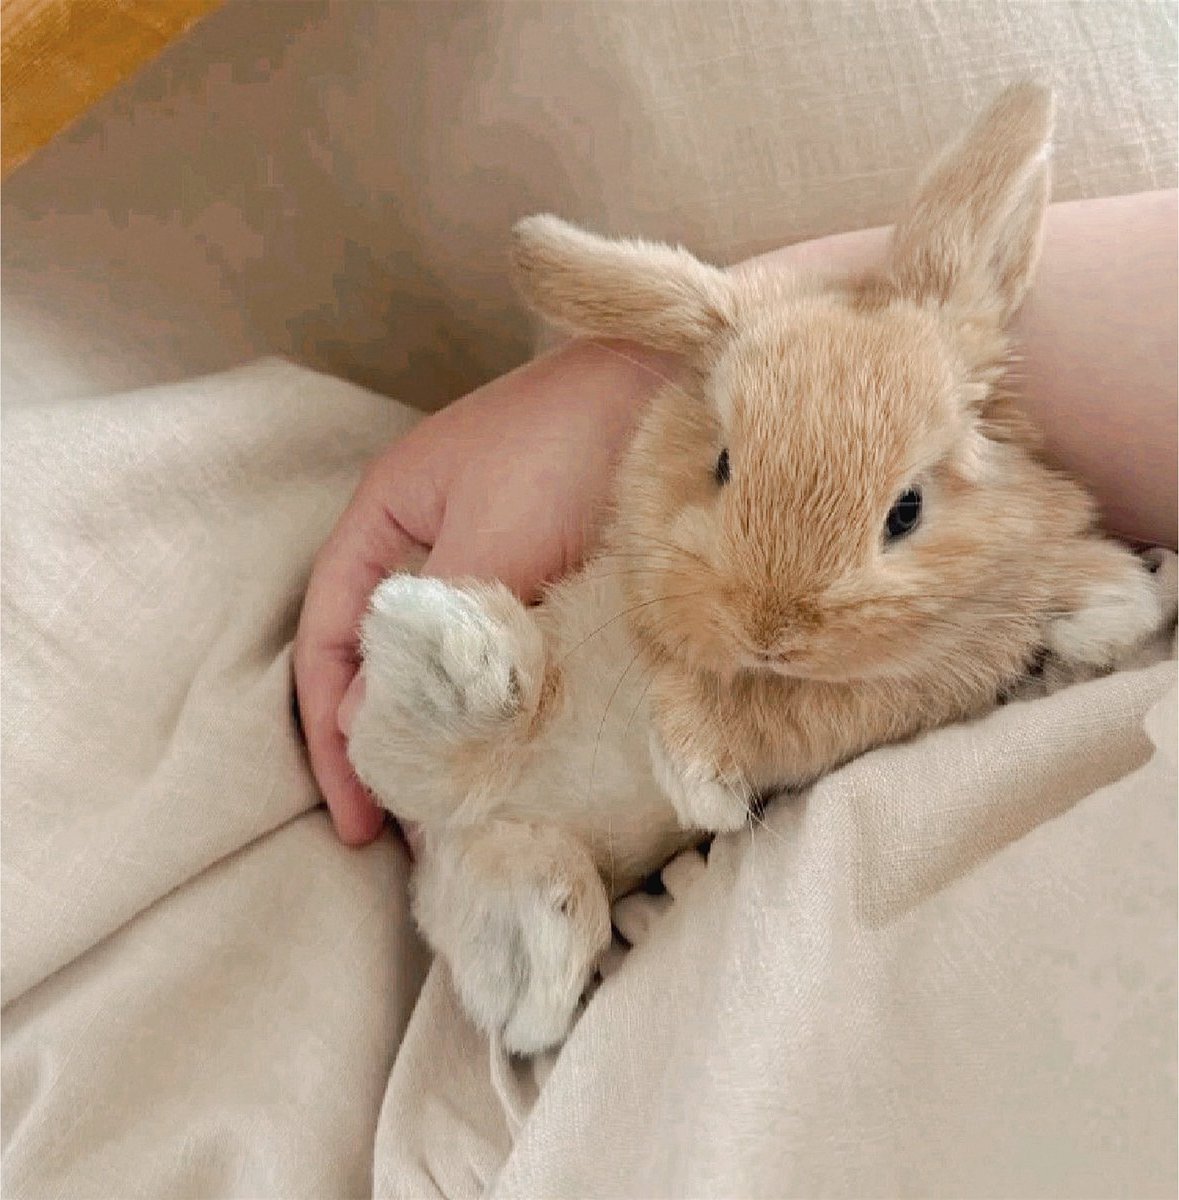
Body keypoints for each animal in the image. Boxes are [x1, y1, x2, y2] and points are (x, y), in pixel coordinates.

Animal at [346, 83, 1178, 1055]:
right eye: (722, 465)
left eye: (906, 510)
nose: (769, 630)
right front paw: (697, 769)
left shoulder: (849, 704)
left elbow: (756, 719)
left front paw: (700, 780)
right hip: (455, 761)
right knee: (412, 743)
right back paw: (457, 648)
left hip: (507, 866)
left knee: (523, 905)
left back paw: (537, 966)